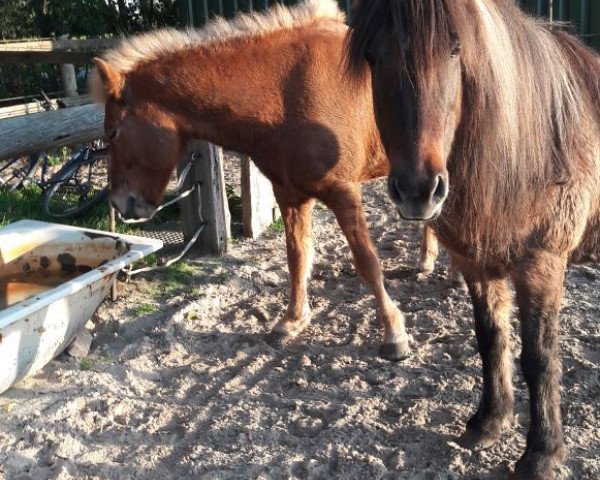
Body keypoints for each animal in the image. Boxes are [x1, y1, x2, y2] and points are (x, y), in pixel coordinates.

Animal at [90, 0, 446, 360]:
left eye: (113, 133)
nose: (119, 202)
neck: (286, 90)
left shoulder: (343, 192)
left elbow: (367, 261)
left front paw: (393, 332)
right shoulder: (290, 195)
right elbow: (297, 257)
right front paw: (292, 320)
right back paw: (427, 261)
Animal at [346, 0, 600, 478]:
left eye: (455, 50)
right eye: (372, 56)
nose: (418, 190)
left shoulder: (542, 265)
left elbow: (539, 357)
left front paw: (542, 452)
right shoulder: (475, 264)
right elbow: (490, 338)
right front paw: (489, 422)